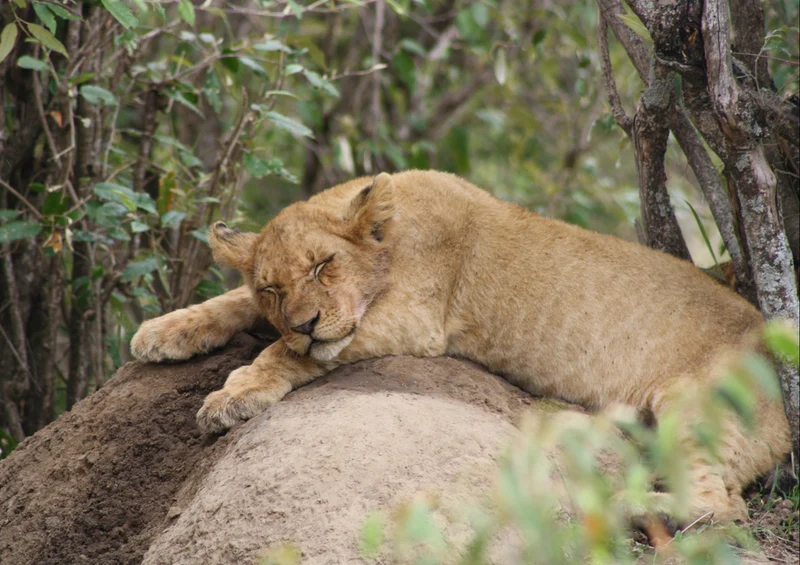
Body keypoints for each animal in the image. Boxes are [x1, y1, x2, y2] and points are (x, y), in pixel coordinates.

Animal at [131, 170, 790, 524]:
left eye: (323, 265)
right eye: (271, 287)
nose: (306, 321)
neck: (391, 235)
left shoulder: (415, 321)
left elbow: (283, 353)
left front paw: (231, 395)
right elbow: (232, 304)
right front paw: (162, 331)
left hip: (694, 402)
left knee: (721, 507)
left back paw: (623, 506)